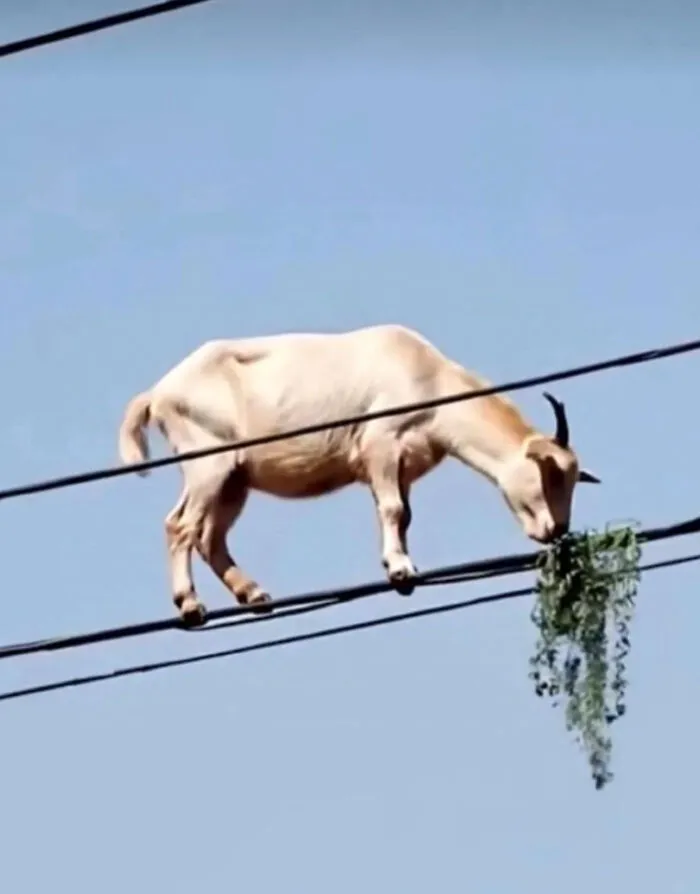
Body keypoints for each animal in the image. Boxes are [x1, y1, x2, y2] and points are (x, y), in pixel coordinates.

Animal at [118, 324, 600, 625]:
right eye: (551, 473)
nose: (556, 529)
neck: (433, 383)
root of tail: (157, 394)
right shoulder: (380, 443)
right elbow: (392, 509)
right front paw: (400, 569)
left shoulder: (400, 465)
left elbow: (403, 513)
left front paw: (400, 568)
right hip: (209, 460)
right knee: (180, 526)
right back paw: (189, 605)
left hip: (233, 477)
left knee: (209, 535)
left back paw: (253, 595)